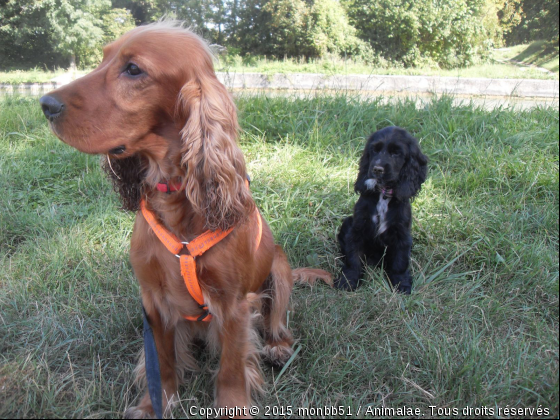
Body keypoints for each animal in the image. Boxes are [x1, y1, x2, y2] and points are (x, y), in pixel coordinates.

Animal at [40, 22, 332, 416]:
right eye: (103, 58)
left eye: (134, 69)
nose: (45, 104)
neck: (176, 195)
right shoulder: (153, 300)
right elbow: (161, 362)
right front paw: (155, 405)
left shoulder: (234, 303)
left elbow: (232, 366)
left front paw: (233, 406)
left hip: (280, 272)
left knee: (277, 324)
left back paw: (278, 347)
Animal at [336, 126, 428, 294]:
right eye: (375, 150)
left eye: (396, 153)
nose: (377, 169)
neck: (383, 194)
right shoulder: (358, 228)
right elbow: (353, 258)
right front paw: (348, 281)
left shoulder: (402, 234)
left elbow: (400, 261)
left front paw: (401, 284)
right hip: (347, 222)